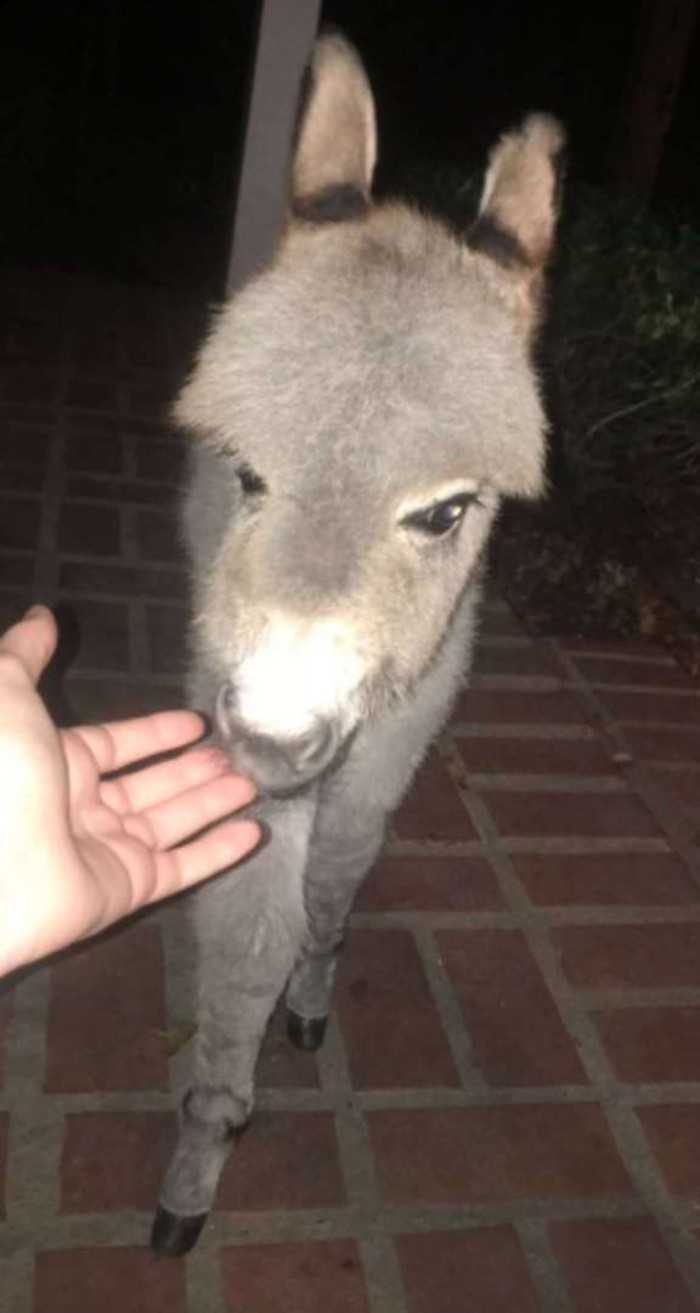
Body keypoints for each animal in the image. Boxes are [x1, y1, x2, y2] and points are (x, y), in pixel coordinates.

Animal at [151, 30, 562, 1255]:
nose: (277, 739)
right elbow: (246, 938)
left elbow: (332, 882)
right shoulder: (237, 716)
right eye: (245, 472)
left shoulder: (392, 733)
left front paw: (311, 994)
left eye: (447, 512)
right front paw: (204, 1147)